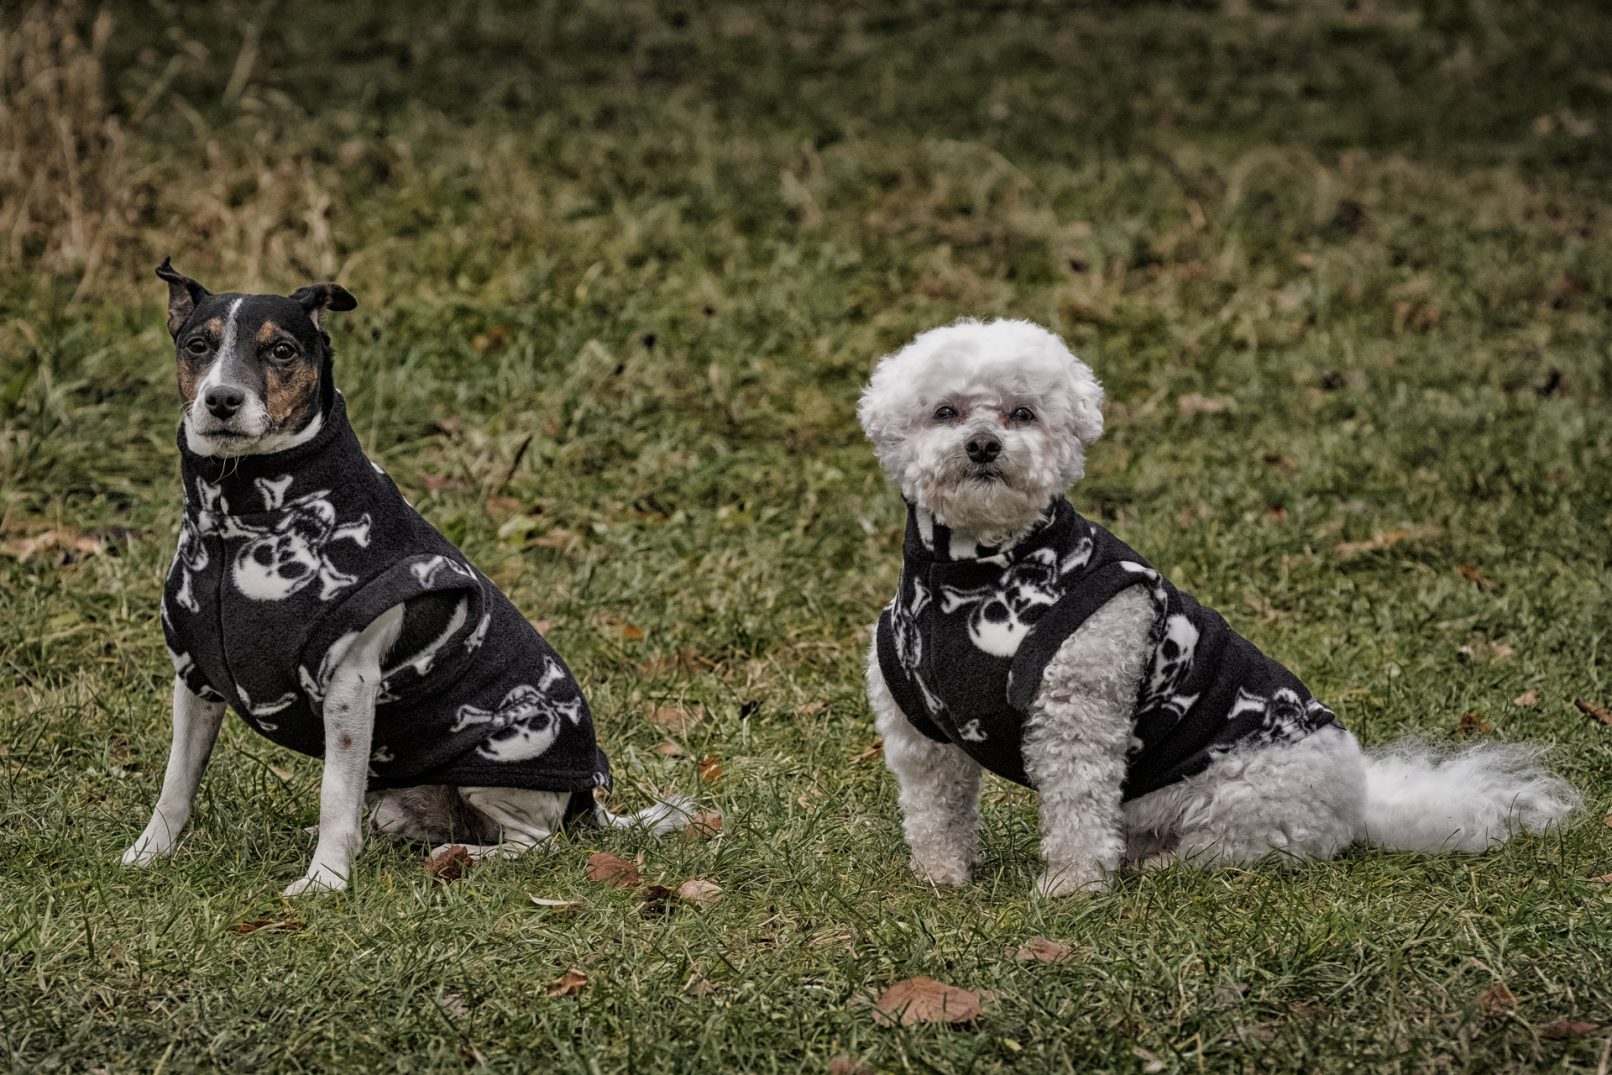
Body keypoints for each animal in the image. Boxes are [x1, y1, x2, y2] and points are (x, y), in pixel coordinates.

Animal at [120, 256, 686, 896]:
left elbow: (334, 798)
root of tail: (587, 803)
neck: (241, 509)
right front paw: (148, 854)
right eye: (198, 345)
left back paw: (462, 856)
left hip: (499, 760)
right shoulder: (196, 681)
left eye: (282, 351)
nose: (221, 399)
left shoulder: (351, 685)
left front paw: (324, 882)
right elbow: (176, 784)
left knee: (537, 845)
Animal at [864, 319, 1579, 902]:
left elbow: (1076, 810)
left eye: (1022, 413)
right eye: (946, 411)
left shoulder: (1077, 717)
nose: (984, 444)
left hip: (1240, 793)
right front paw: (940, 875)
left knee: (1236, 851)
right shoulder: (919, 732)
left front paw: (1071, 887)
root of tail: (1360, 801)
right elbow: (935, 810)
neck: (976, 569)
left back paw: (1160, 869)